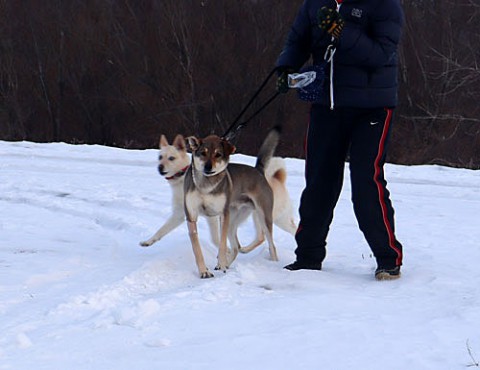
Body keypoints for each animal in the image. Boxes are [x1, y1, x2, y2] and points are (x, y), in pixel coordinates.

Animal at [184, 127, 282, 278]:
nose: (208, 167)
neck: (206, 186)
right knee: (236, 247)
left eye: (218, 154)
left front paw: (222, 263)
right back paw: (226, 263)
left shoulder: (223, 214)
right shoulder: (191, 215)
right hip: (234, 220)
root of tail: (258, 170)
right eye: (203, 153)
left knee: (271, 245)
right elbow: (197, 248)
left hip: (263, 216)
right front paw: (204, 271)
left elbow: (222, 244)